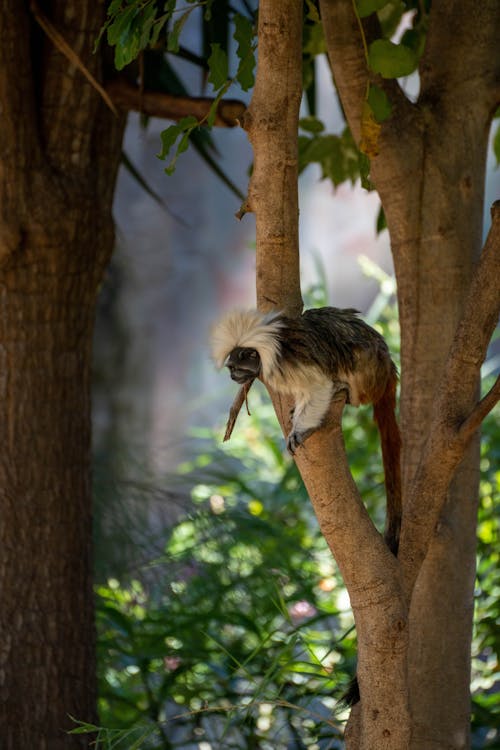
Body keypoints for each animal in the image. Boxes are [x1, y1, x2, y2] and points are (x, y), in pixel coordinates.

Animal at [211, 306, 402, 560]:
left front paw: (301, 430)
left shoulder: (296, 365)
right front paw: (296, 412)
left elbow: (319, 387)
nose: (232, 377)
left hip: (368, 372)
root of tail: (389, 368)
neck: (273, 351)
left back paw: (345, 390)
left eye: (236, 368)